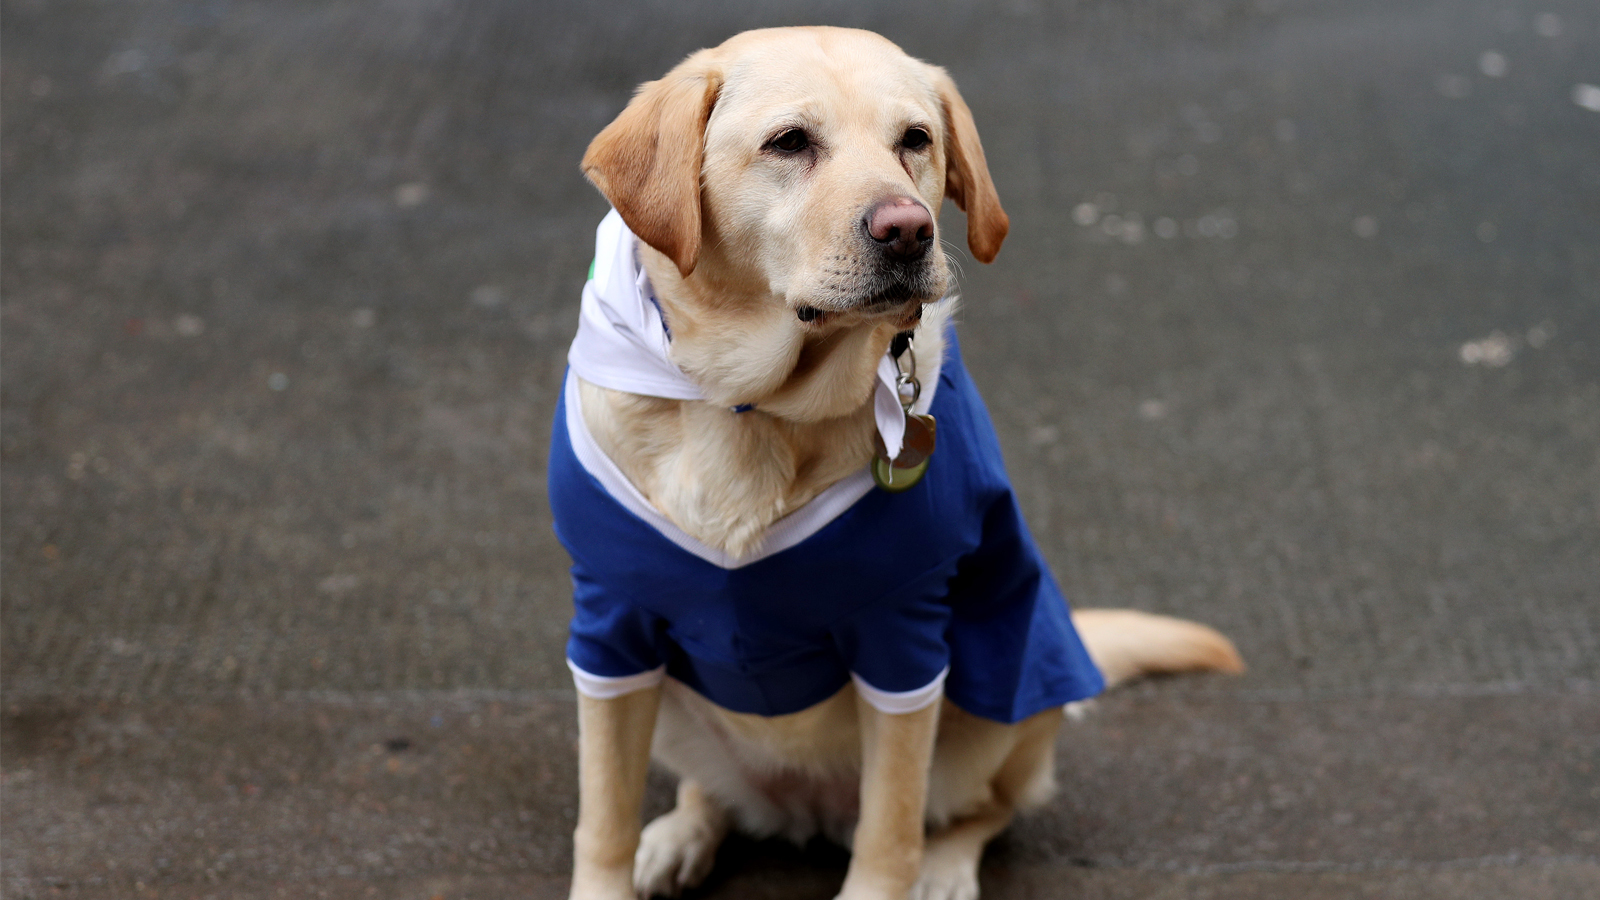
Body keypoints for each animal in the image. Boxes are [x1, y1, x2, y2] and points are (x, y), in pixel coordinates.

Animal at [556, 28, 1241, 896]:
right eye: (789, 142)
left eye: (915, 140)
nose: (908, 229)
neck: (754, 406)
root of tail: (804, 810)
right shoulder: (610, 632)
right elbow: (603, 816)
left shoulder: (905, 639)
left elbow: (890, 827)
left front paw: (901, 872)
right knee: (711, 792)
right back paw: (680, 834)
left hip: (1003, 708)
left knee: (979, 809)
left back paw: (944, 868)